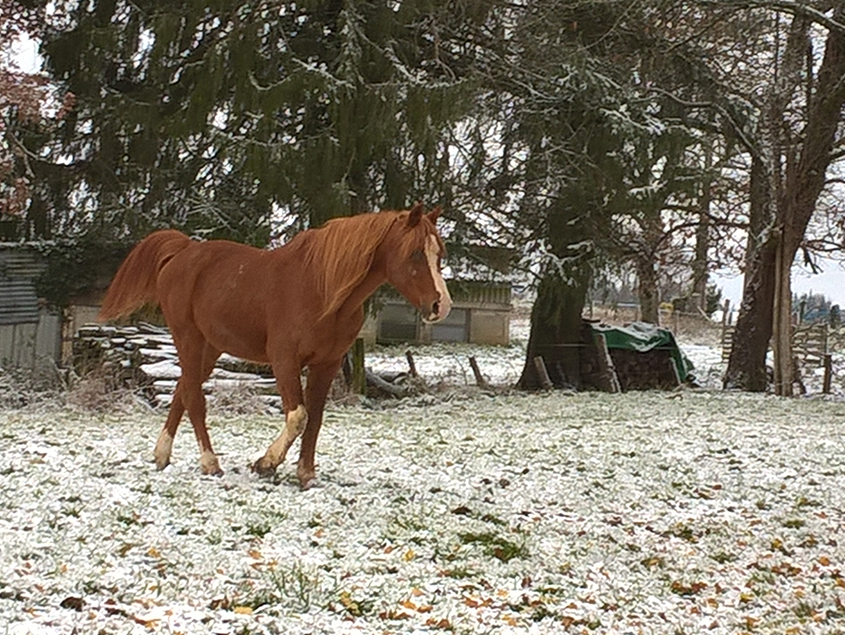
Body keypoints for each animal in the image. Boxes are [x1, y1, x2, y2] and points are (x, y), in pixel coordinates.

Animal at [98, 204, 448, 486]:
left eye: (439, 253)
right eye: (416, 253)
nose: (440, 305)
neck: (323, 290)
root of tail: (183, 251)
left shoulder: (327, 363)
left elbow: (315, 418)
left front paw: (306, 474)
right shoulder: (284, 360)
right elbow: (298, 416)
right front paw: (265, 464)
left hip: (210, 348)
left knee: (182, 391)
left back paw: (162, 454)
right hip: (188, 338)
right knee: (194, 398)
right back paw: (210, 463)